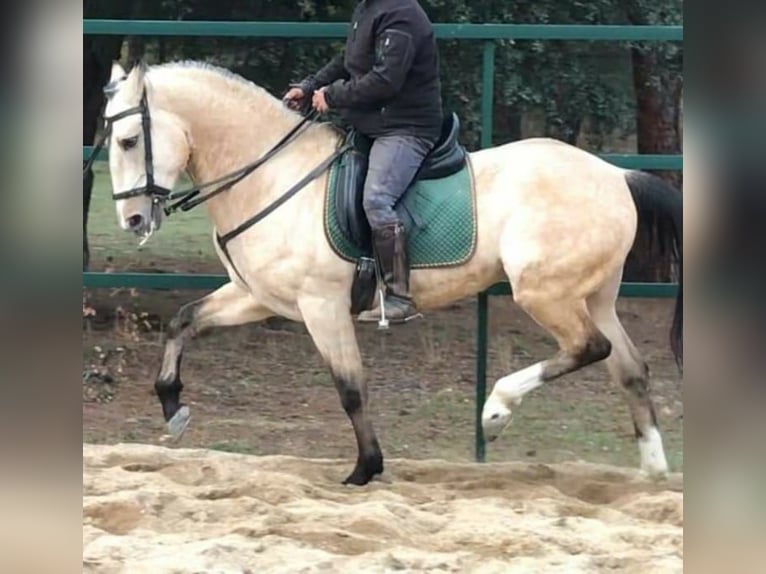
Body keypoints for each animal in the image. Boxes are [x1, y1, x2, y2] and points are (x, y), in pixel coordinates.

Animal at [93, 60, 688, 486]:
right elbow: (184, 321)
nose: (133, 220)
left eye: (128, 141)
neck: (271, 176)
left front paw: (365, 468)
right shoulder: (256, 296)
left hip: (545, 293)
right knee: (630, 368)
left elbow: (350, 388)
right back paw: (654, 470)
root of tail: (615, 174)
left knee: (590, 348)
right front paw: (173, 407)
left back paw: (496, 411)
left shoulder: (321, 307)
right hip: (594, 296)